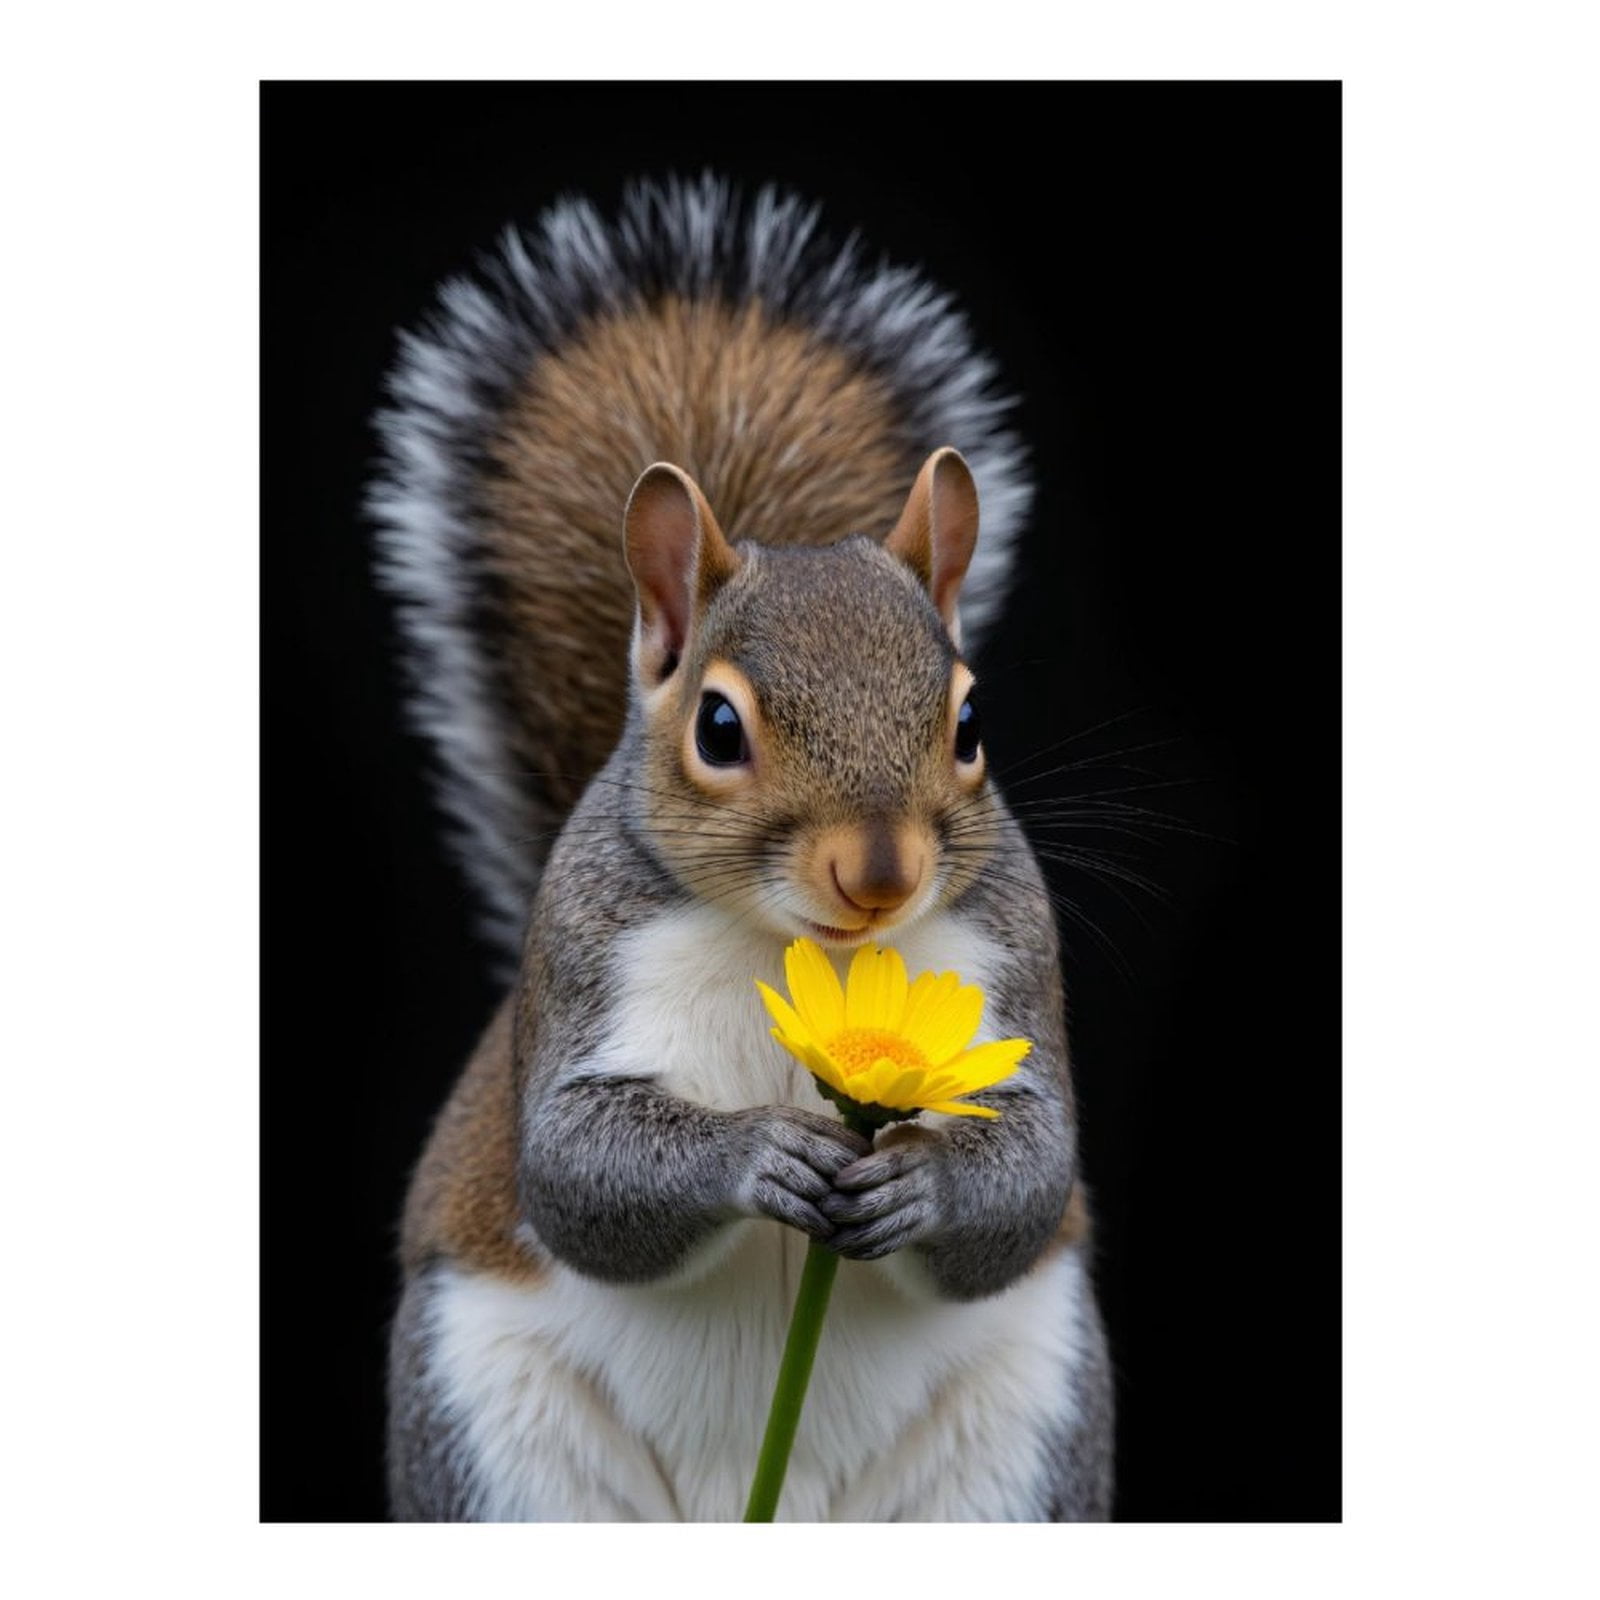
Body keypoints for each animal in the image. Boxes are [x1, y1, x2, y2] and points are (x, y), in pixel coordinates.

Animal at [370, 177, 1114, 1521]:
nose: (880, 875)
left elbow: (1028, 1174)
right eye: (718, 728)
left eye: (970, 722)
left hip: (1018, 1449)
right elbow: (574, 1165)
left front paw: (919, 1182)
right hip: (498, 1449)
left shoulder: (1013, 967)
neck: (797, 946)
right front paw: (756, 1149)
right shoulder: (578, 966)